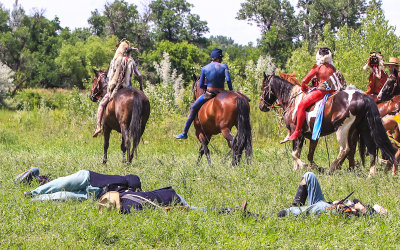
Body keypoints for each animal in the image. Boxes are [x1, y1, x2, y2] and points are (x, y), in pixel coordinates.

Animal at [260, 73, 396, 176]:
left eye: (263, 88)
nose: (261, 106)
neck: (292, 101)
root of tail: (363, 98)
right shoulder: (312, 136)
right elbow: (308, 154)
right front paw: (306, 167)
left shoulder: (296, 133)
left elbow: (295, 153)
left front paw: (301, 166)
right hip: (364, 129)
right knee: (370, 149)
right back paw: (370, 173)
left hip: (342, 128)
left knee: (345, 149)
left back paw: (332, 168)